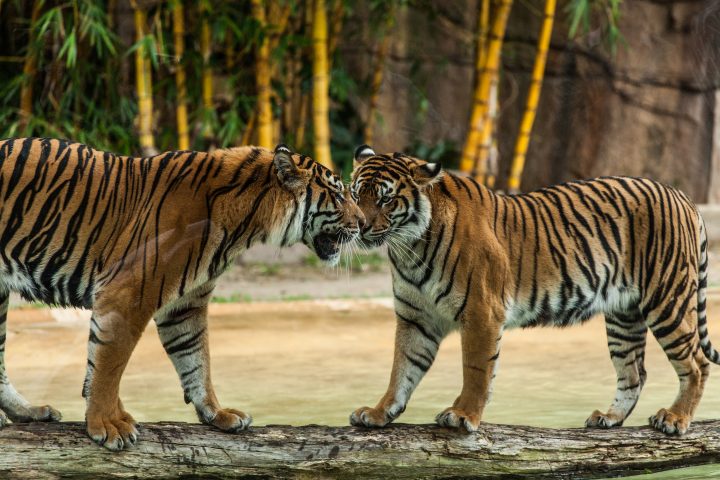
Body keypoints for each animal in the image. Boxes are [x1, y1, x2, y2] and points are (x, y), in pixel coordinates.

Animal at [0, 137, 363, 450]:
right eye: (339, 195)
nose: (362, 222)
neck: (245, 221)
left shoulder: (185, 305)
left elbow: (196, 360)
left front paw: (218, 414)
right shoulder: (127, 295)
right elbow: (108, 366)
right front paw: (106, 424)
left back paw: (28, 413)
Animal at [348, 144, 719, 436]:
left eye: (386, 199)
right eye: (355, 194)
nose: (361, 226)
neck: (409, 248)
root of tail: (681, 195)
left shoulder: (481, 312)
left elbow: (476, 370)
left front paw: (463, 415)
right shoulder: (416, 318)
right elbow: (402, 369)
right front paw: (379, 413)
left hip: (667, 300)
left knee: (697, 363)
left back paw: (675, 418)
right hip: (623, 316)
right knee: (634, 372)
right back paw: (609, 418)